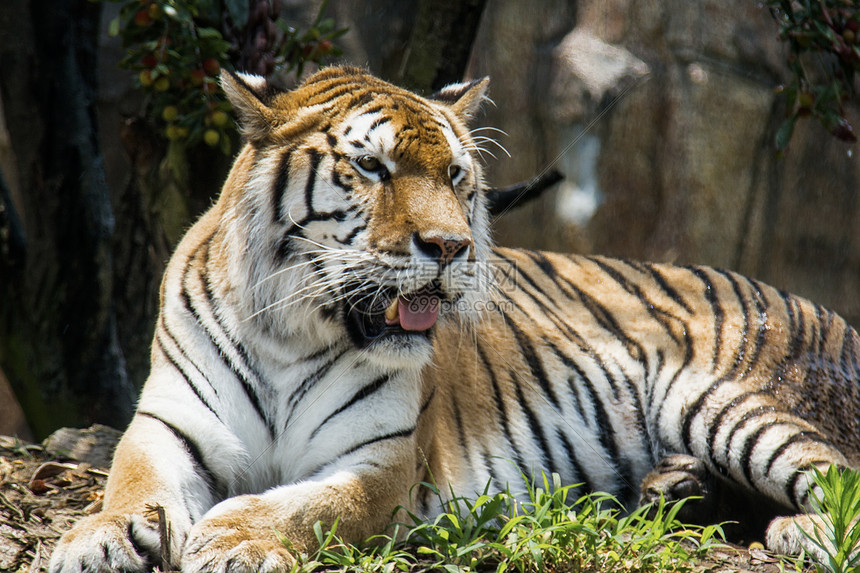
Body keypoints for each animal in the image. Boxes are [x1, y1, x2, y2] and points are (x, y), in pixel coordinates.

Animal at [48, 65, 860, 568]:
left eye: (456, 176)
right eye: (370, 167)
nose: (450, 247)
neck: (291, 333)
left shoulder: (383, 460)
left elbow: (310, 506)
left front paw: (234, 536)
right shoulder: (170, 425)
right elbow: (129, 483)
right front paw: (96, 540)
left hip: (730, 401)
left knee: (840, 477)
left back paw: (797, 531)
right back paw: (676, 489)